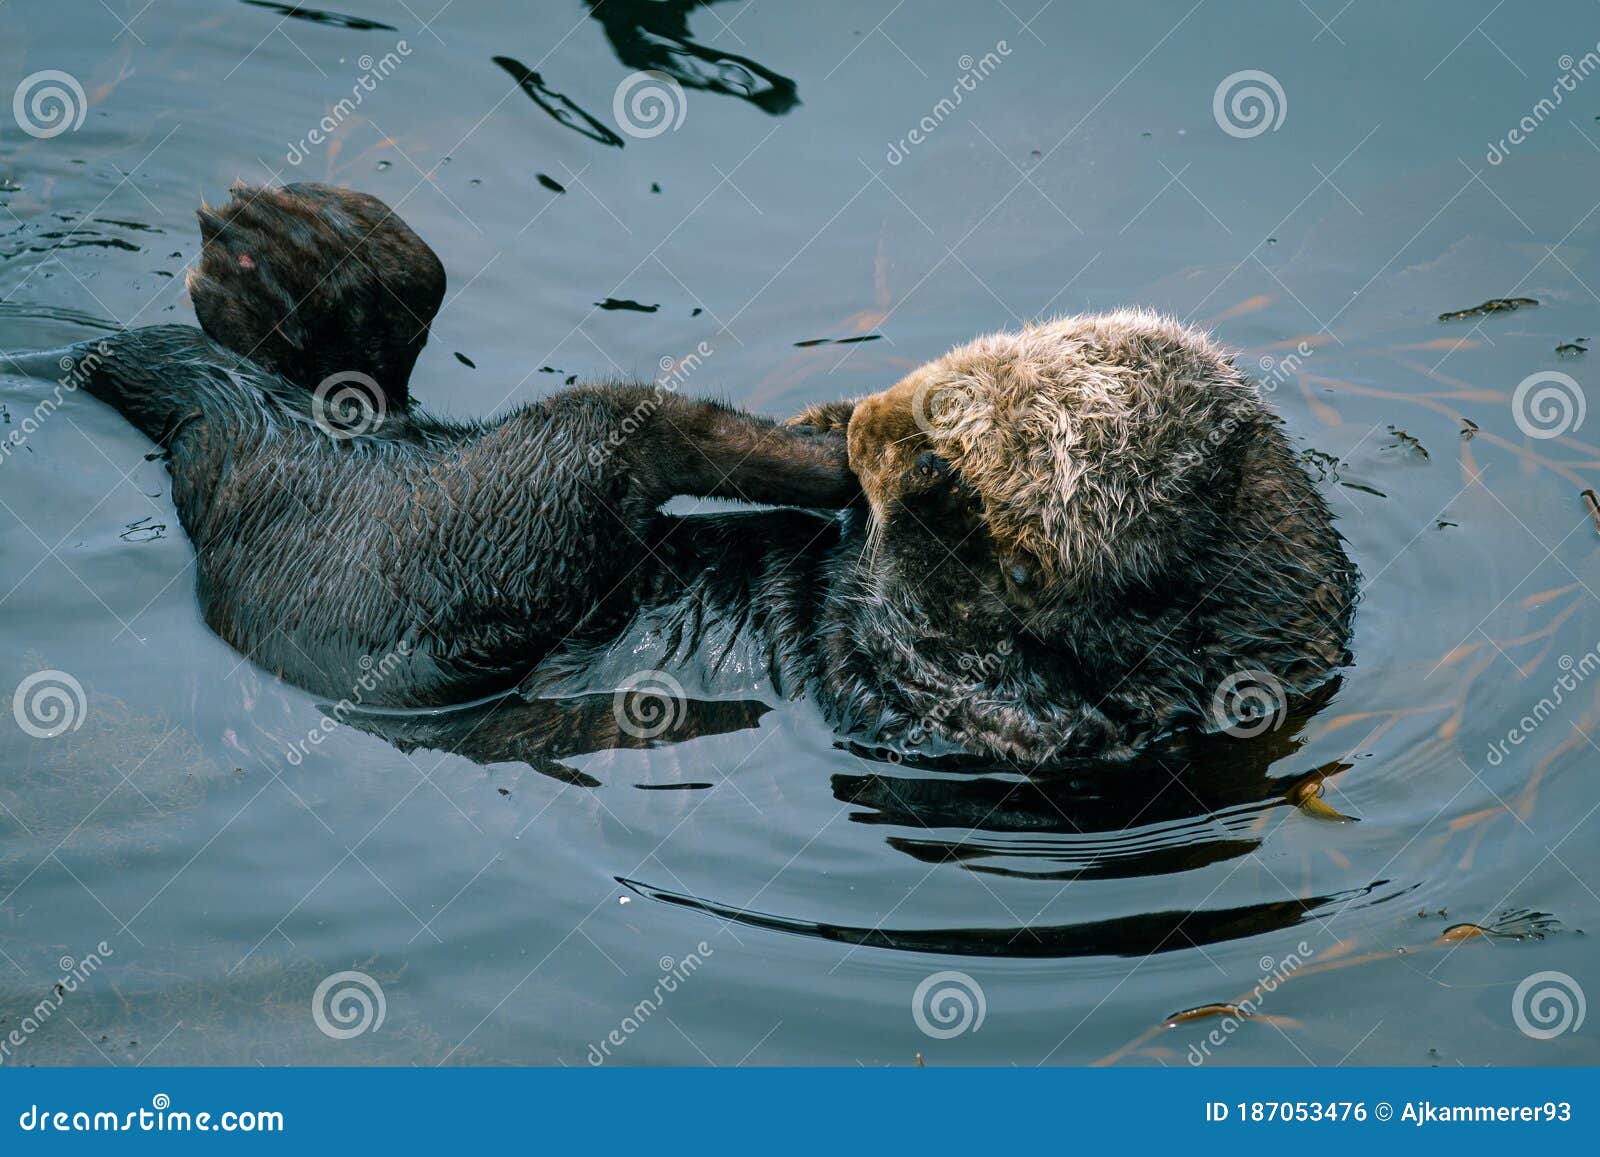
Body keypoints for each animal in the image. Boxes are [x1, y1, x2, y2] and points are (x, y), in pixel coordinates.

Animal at [6, 185, 1356, 764]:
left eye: (967, 442)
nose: (883, 417)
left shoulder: (1020, 702)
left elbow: (927, 626)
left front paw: (872, 471)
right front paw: (841, 423)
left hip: (414, 548)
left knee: (612, 435)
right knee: (350, 381)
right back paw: (309, 262)